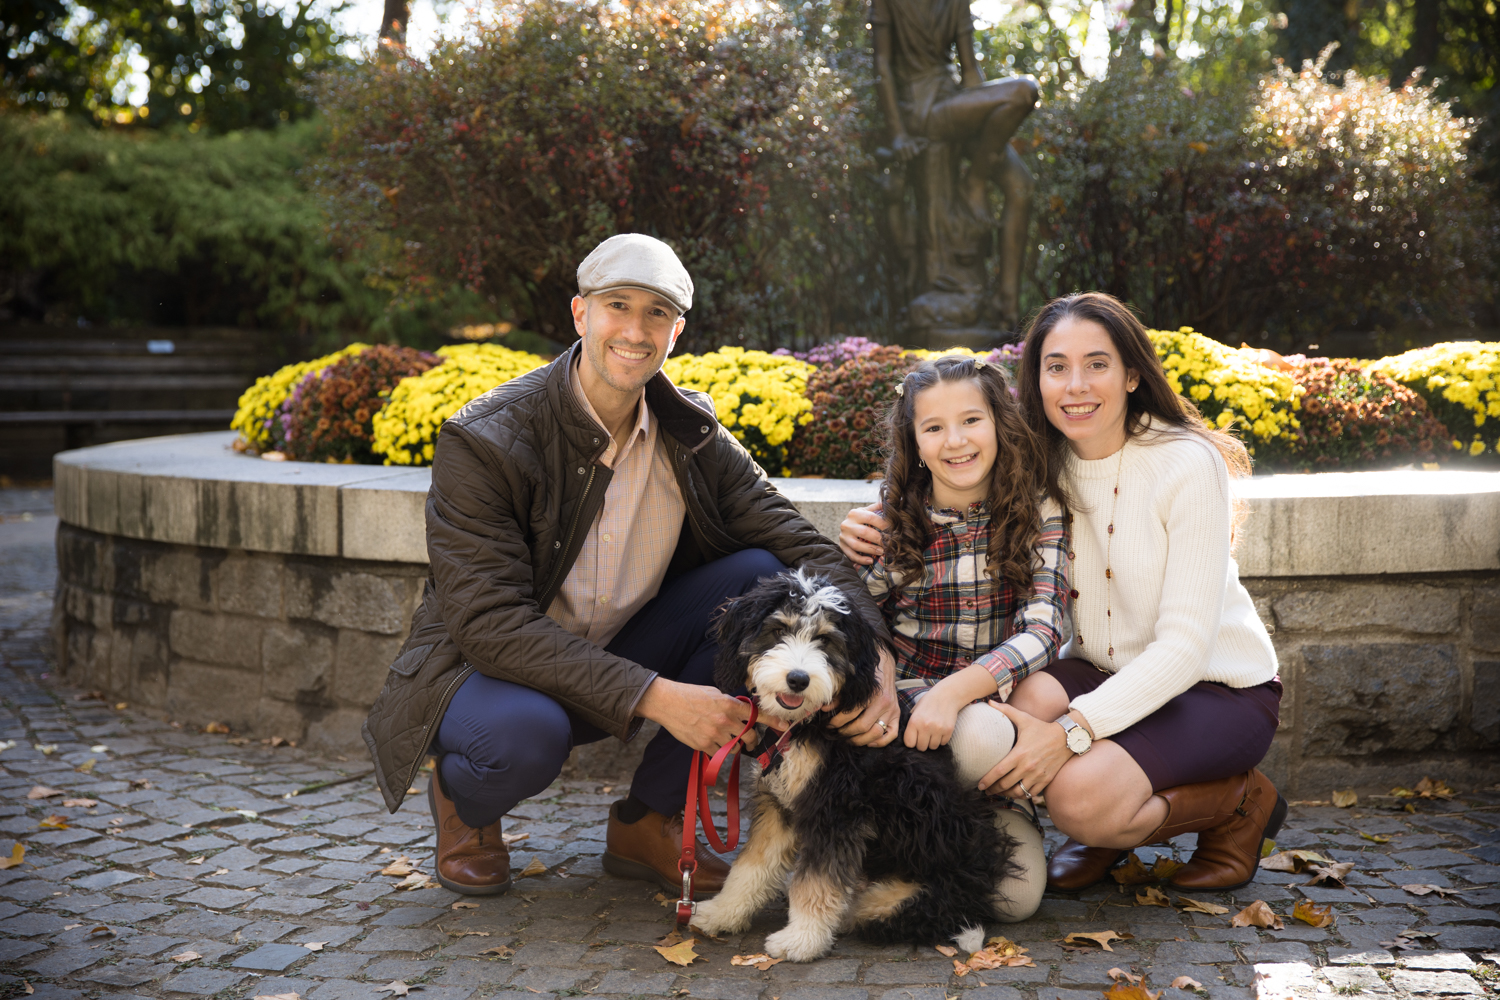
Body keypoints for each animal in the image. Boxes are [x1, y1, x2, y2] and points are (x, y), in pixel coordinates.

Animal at [687, 569, 1020, 959]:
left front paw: (802, 939)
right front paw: (721, 913)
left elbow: (817, 882)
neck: (810, 722)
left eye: (825, 640)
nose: (798, 679)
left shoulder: (836, 808)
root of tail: (976, 899)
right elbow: (750, 864)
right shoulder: (778, 804)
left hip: (906, 895)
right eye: (778, 630)